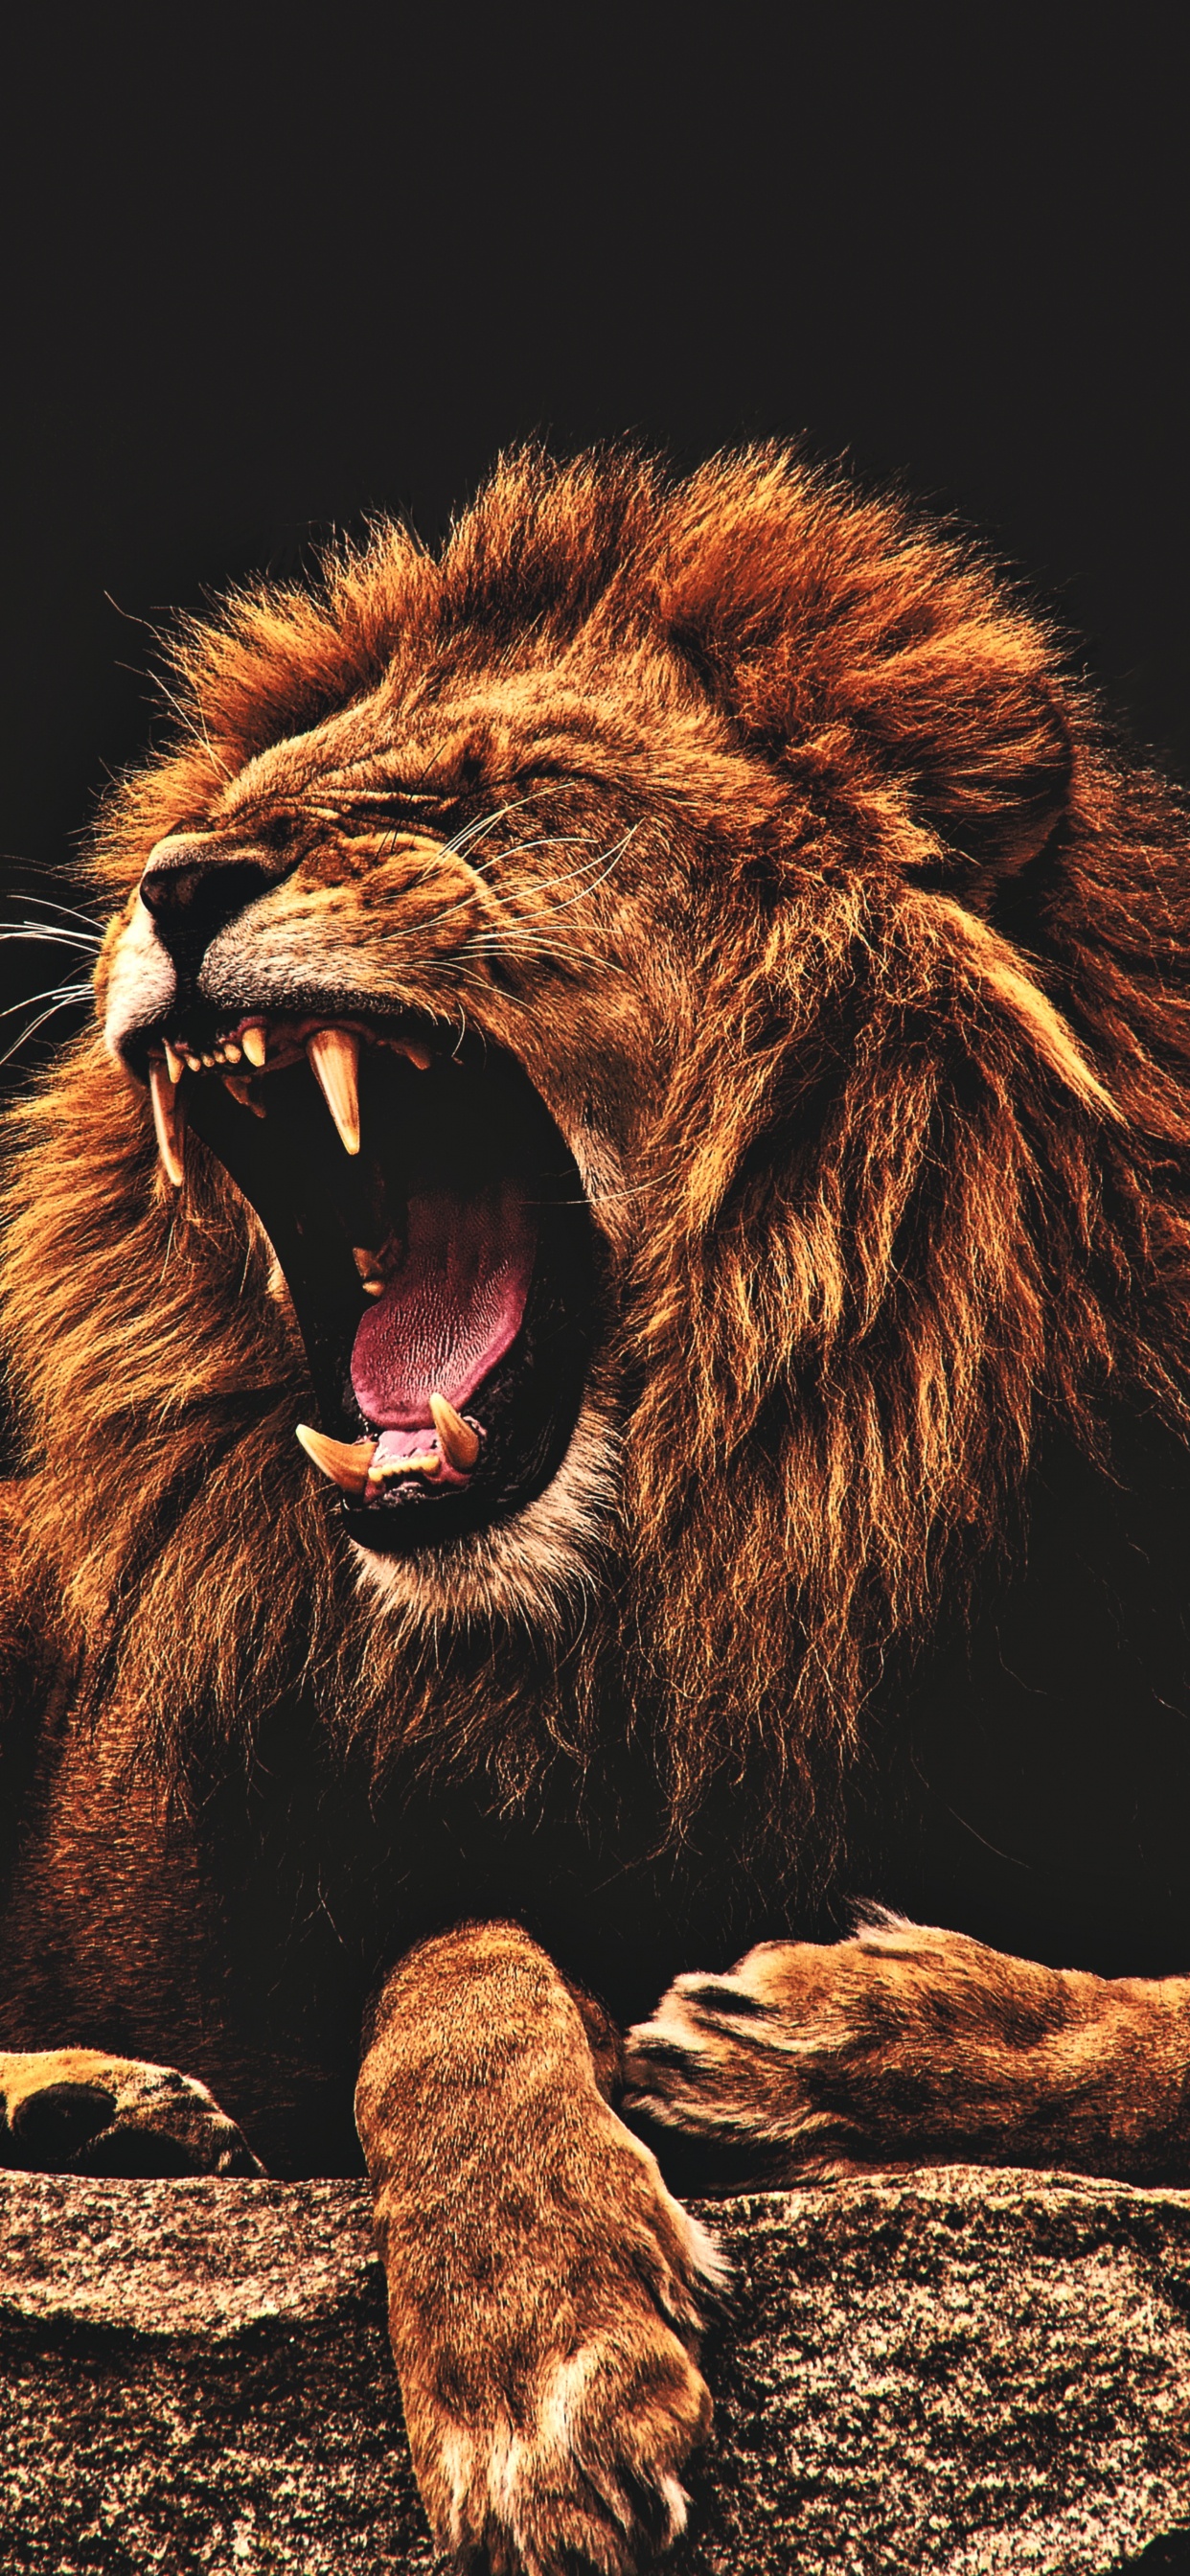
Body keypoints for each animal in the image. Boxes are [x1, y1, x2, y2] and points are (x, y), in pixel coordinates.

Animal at [3, 443, 1190, 2575]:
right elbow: (459, 1960)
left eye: (500, 794)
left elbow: (1151, 2025)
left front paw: (841, 2034)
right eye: (227, 816)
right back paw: (101, 2105)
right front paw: (539, 2358)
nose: (177, 885)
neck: (708, 1558)